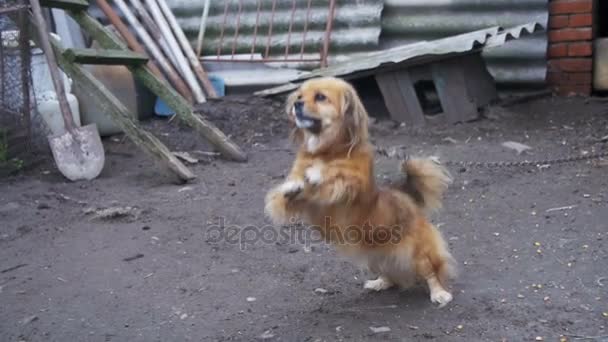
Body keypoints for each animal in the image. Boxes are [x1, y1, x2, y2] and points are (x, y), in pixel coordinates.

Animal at [264, 77, 456, 308]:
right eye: (300, 96)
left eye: (320, 97)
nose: (296, 104)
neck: (326, 151)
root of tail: (406, 197)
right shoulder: (301, 203)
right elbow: (283, 196)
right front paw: (292, 186)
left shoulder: (354, 185)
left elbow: (340, 172)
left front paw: (317, 172)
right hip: (374, 258)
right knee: (390, 274)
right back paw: (380, 283)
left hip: (416, 253)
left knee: (430, 272)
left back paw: (439, 294)